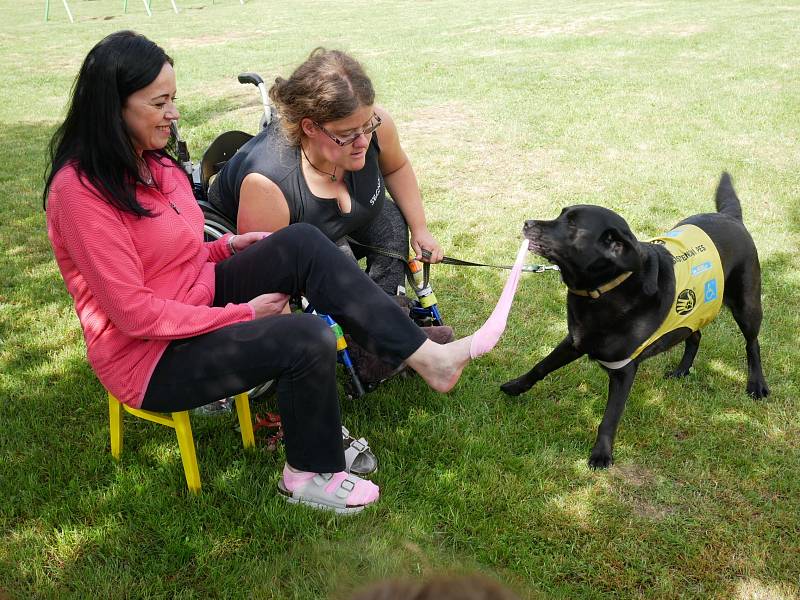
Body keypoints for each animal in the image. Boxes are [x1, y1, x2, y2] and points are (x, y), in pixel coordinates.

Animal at [500, 173, 768, 468]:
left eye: (571, 224)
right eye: (561, 214)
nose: (527, 223)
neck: (605, 288)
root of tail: (731, 217)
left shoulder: (623, 370)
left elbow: (610, 418)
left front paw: (601, 454)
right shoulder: (575, 341)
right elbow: (541, 366)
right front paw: (516, 386)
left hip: (747, 306)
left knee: (752, 344)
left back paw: (757, 384)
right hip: (693, 311)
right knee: (695, 335)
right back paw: (682, 370)